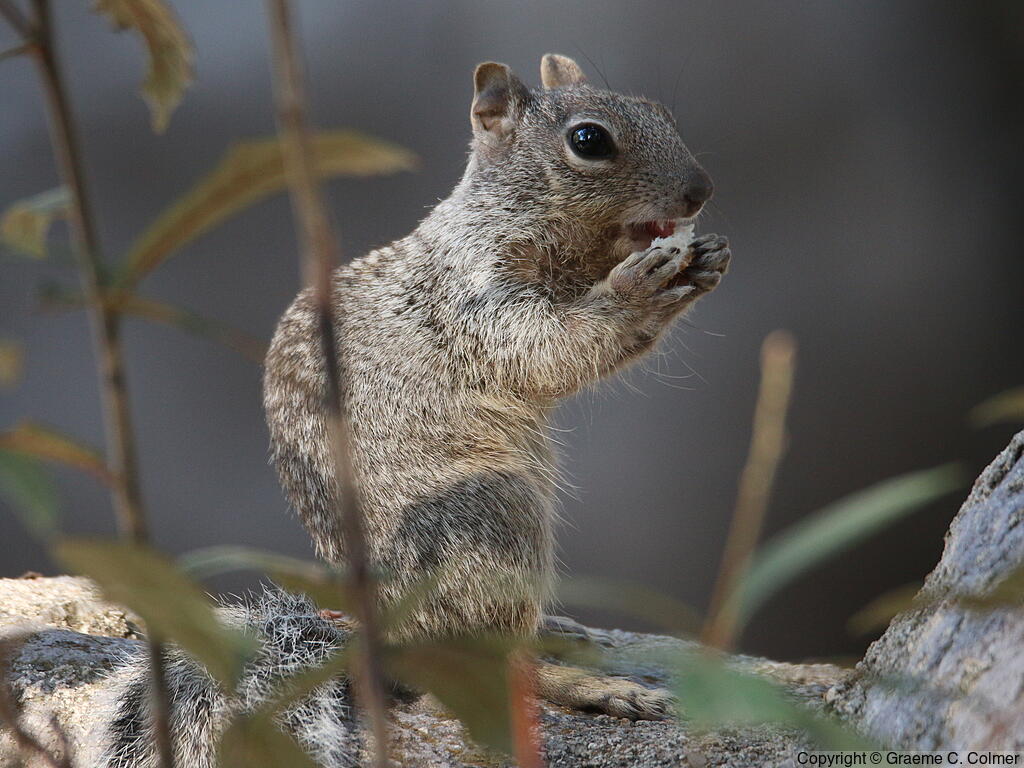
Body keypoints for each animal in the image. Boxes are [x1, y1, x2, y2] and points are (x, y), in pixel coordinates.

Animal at [100, 54, 730, 767]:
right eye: (589, 140)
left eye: (662, 111)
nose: (700, 191)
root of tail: (385, 636)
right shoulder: (478, 300)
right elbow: (553, 348)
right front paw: (638, 291)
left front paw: (702, 261)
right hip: (493, 515)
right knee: (485, 662)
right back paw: (592, 685)